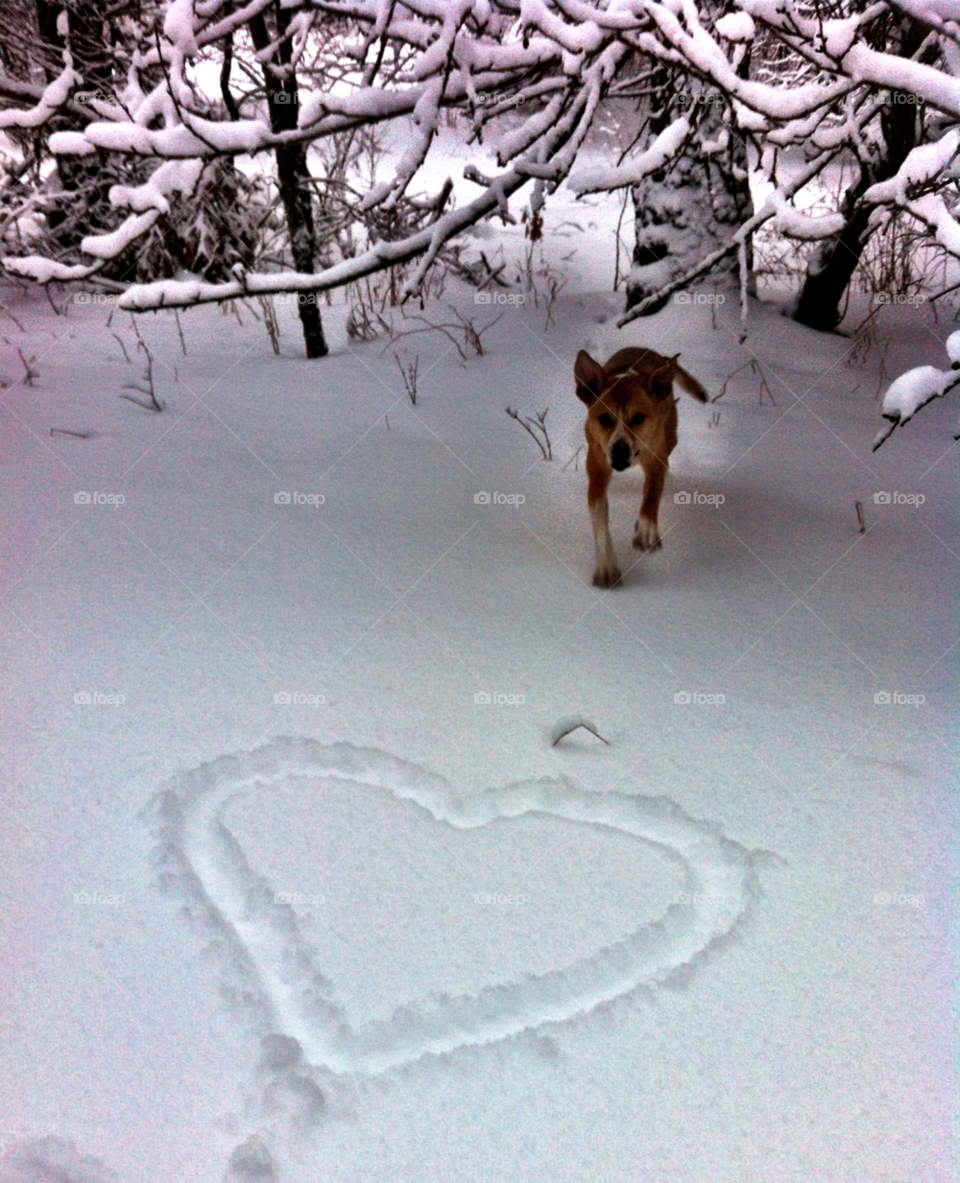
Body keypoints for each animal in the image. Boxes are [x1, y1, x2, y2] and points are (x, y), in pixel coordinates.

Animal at [575, 345, 710, 586]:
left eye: (638, 418)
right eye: (604, 419)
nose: (619, 451)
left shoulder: (656, 459)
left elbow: (651, 495)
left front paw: (646, 531)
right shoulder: (597, 464)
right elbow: (599, 515)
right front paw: (606, 567)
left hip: (670, 434)